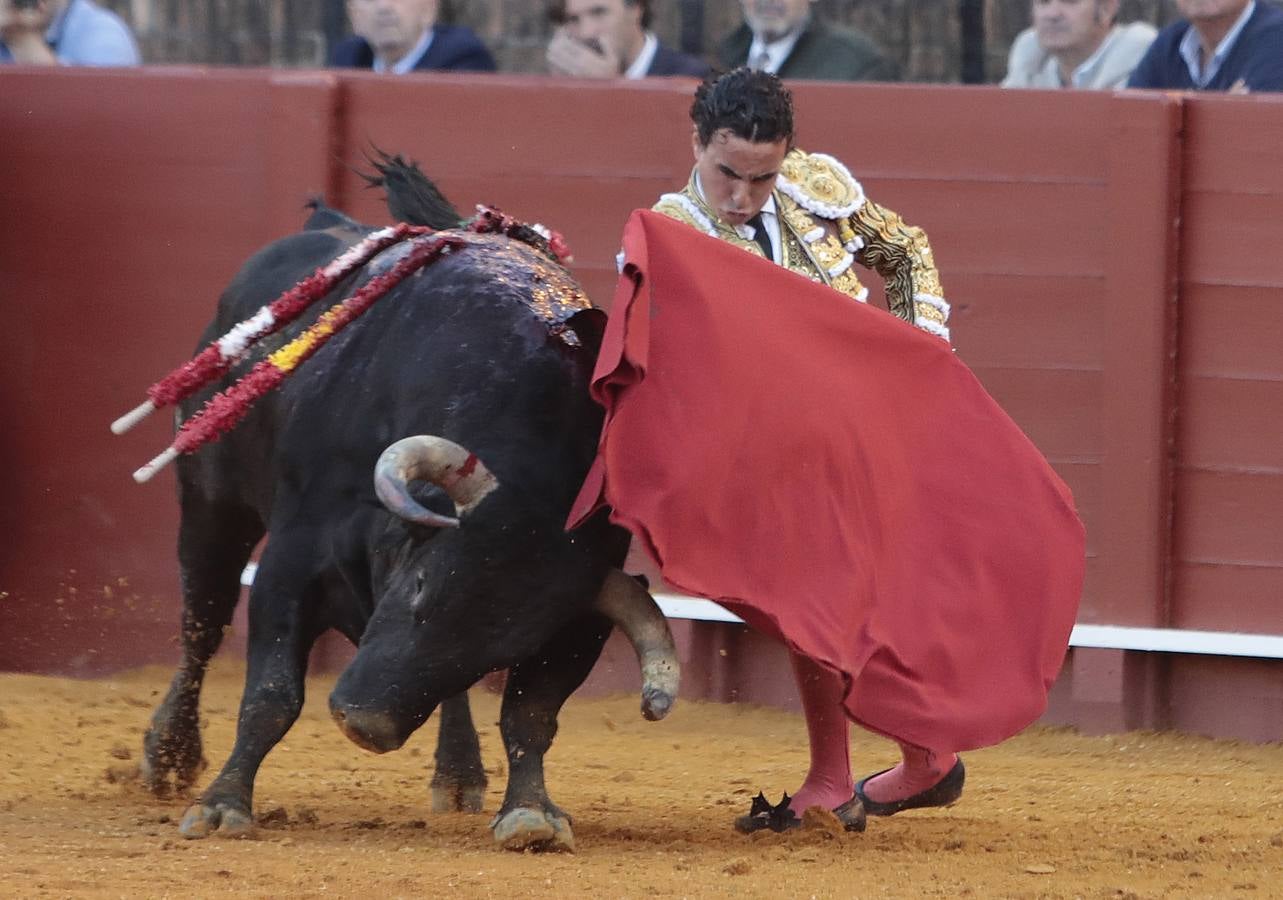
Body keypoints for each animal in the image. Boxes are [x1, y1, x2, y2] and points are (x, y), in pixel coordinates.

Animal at [137, 181, 682, 847]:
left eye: (500, 648)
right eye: (418, 585)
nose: (364, 722)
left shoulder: (577, 618)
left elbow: (529, 713)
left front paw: (531, 813)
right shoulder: (291, 561)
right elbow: (270, 694)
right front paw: (221, 806)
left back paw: (458, 773)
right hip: (211, 506)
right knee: (203, 623)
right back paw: (169, 757)